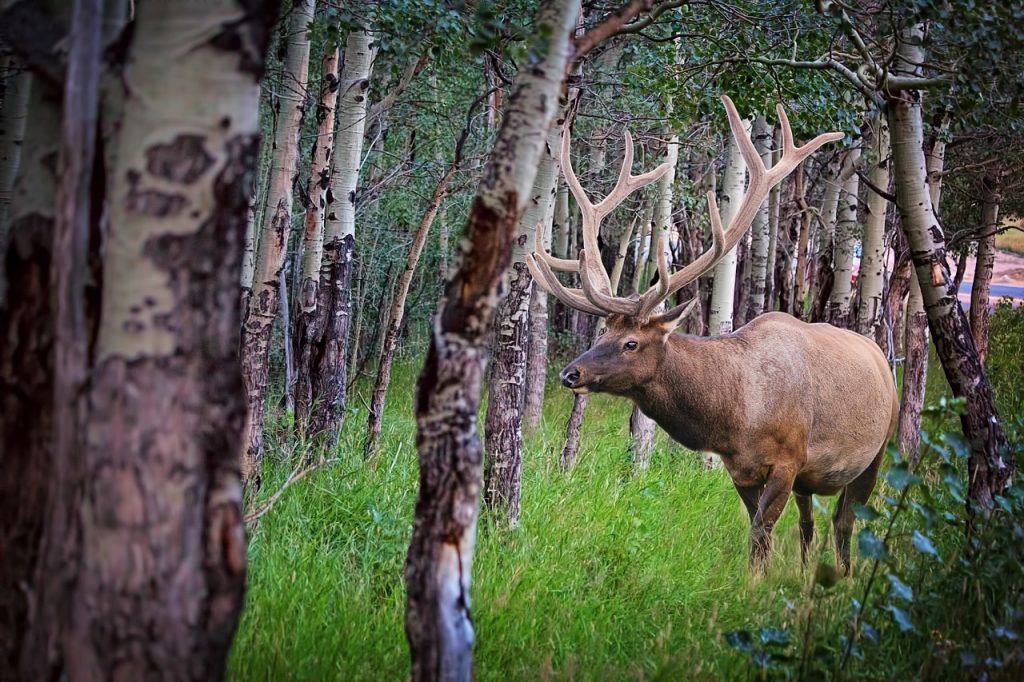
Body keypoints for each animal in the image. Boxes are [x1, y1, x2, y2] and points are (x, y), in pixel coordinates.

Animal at [532, 95, 901, 569]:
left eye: (631, 342)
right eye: (601, 335)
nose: (570, 374)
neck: (736, 417)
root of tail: (882, 359)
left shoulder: (789, 458)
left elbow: (760, 535)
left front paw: (756, 584)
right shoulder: (741, 469)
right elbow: (758, 534)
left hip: (877, 450)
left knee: (844, 523)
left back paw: (844, 576)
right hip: (813, 478)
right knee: (809, 525)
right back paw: (807, 574)